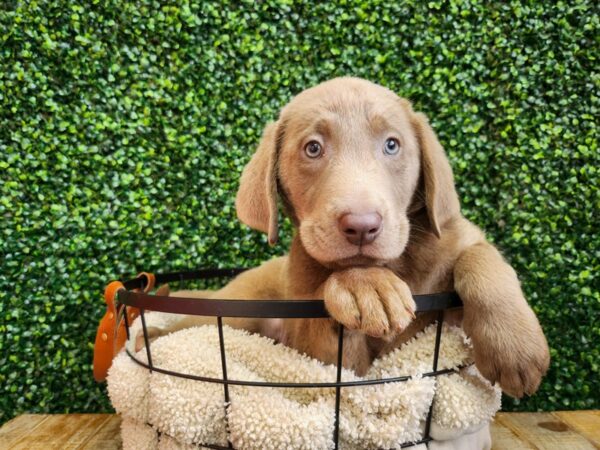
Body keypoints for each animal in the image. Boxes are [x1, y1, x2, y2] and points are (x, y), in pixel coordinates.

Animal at [137, 77, 548, 398]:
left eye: (392, 144)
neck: (397, 264)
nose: (361, 225)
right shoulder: (327, 360)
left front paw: (515, 346)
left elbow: (482, 258)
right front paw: (365, 286)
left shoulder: (459, 242)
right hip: (236, 313)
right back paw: (147, 338)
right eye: (313, 147)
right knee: (186, 325)